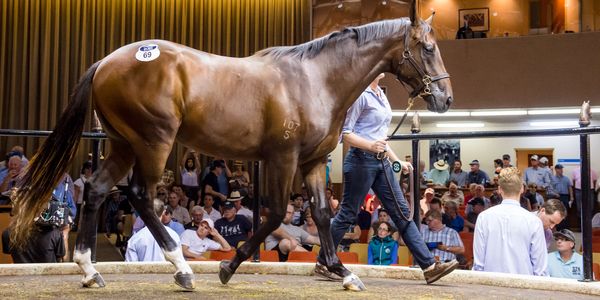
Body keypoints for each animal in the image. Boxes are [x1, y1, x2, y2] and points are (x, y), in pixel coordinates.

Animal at [10, 3, 450, 292]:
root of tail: (105, 62)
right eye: (428, 48)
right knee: (141, 196)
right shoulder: (281, 159)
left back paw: (89, 270)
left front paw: (342, 271)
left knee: (98, 190)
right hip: (153, 141)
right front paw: (228, 267)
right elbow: (275, 215)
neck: (315, 80)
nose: (445, 99)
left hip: (123, 144)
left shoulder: (311, 161)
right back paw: (181, 268)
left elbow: (323, 215)